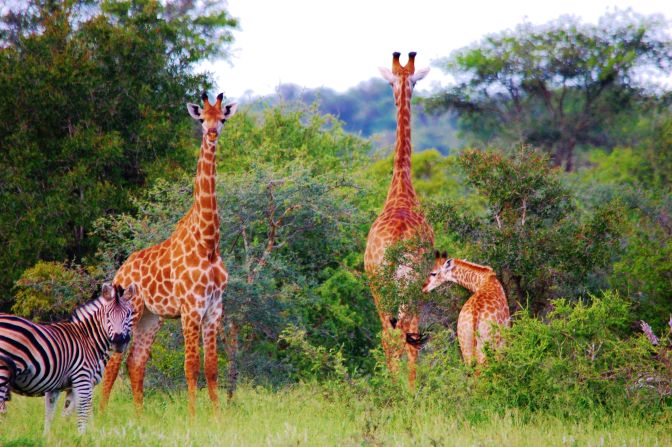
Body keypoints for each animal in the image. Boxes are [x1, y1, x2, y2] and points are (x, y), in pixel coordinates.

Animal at [0, 284, 135, 434]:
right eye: (107, 315)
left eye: (128, 314)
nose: (118, 341)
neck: (88, 339)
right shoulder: (83, 379)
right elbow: (83, 412)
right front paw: (84, 435)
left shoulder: (57, 387)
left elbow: (54, 415)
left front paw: (52, 436)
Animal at [98, 91, 236, 416]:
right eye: (202, 119)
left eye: (222, 119)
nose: (212, 134)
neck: (208, 243)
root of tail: (121, 269)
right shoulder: (191, 308)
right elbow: (191, 367)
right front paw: (193, 417)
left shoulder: (214, 308)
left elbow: (211, 368)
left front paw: (217, 418)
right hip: (133, 311)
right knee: (113, 362)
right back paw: (99, 415)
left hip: (152, 317)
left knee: (136, 362)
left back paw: (139, 417)